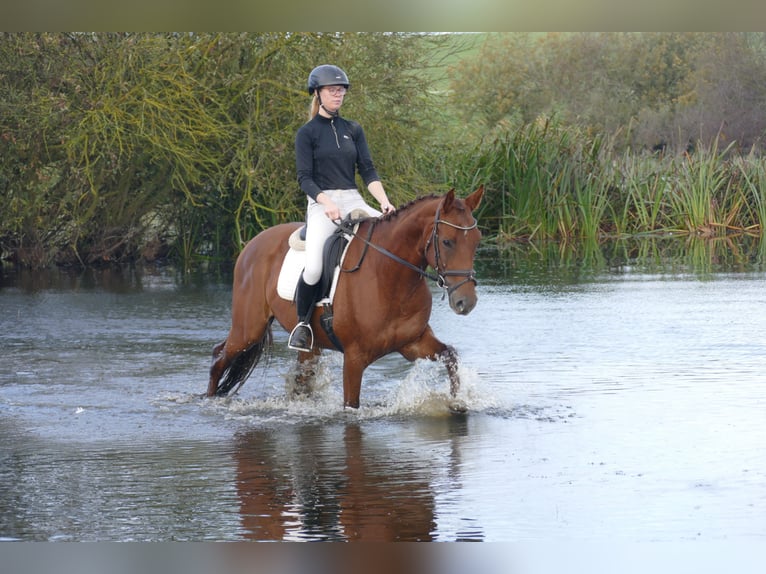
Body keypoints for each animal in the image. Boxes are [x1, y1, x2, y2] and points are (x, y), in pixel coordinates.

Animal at [208, 187, 486, 412]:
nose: (466, 302)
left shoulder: (413, 342)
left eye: (476, 241)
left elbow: (450, 356)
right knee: (218, 360)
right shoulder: (354, 358)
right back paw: (208, 401)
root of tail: (252, 243)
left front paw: (456, 401)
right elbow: (351, 405)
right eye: (447, 242)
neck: (389, 276)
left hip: (309, 346)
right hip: (248, 330)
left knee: (300, 379)